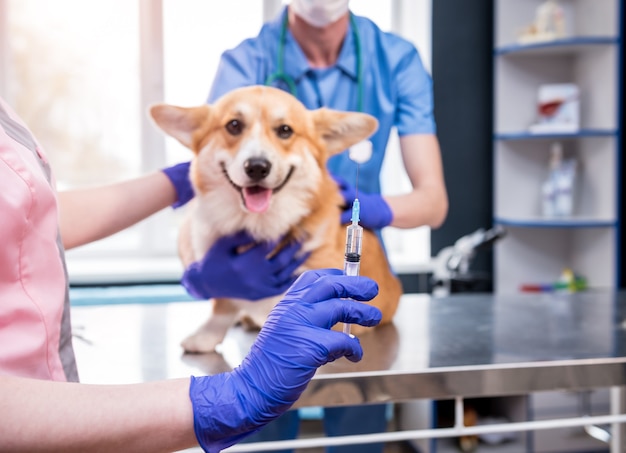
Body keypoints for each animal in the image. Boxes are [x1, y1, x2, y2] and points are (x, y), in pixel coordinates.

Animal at [150, 85, 400, 354]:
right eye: (234, 125)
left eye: (285, 130)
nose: (257, 167)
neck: (259, 227)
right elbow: (222, 303)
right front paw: (207, 334)